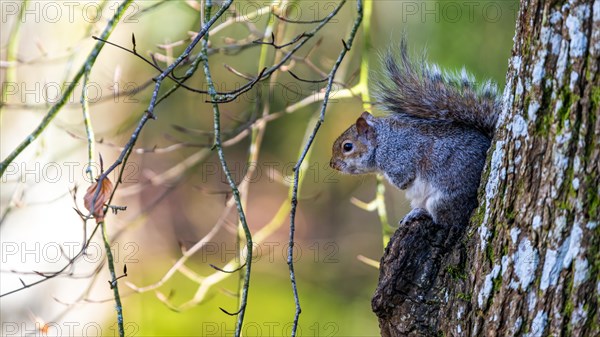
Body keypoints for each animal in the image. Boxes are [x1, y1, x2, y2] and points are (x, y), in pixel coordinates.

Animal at [330, 40, 500, 227]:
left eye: (347, 147)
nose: (333, 164)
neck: (383, 141)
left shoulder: (400, 157)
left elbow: (404, 179)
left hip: (444, 198)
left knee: (447, 221)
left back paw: (421, 213)